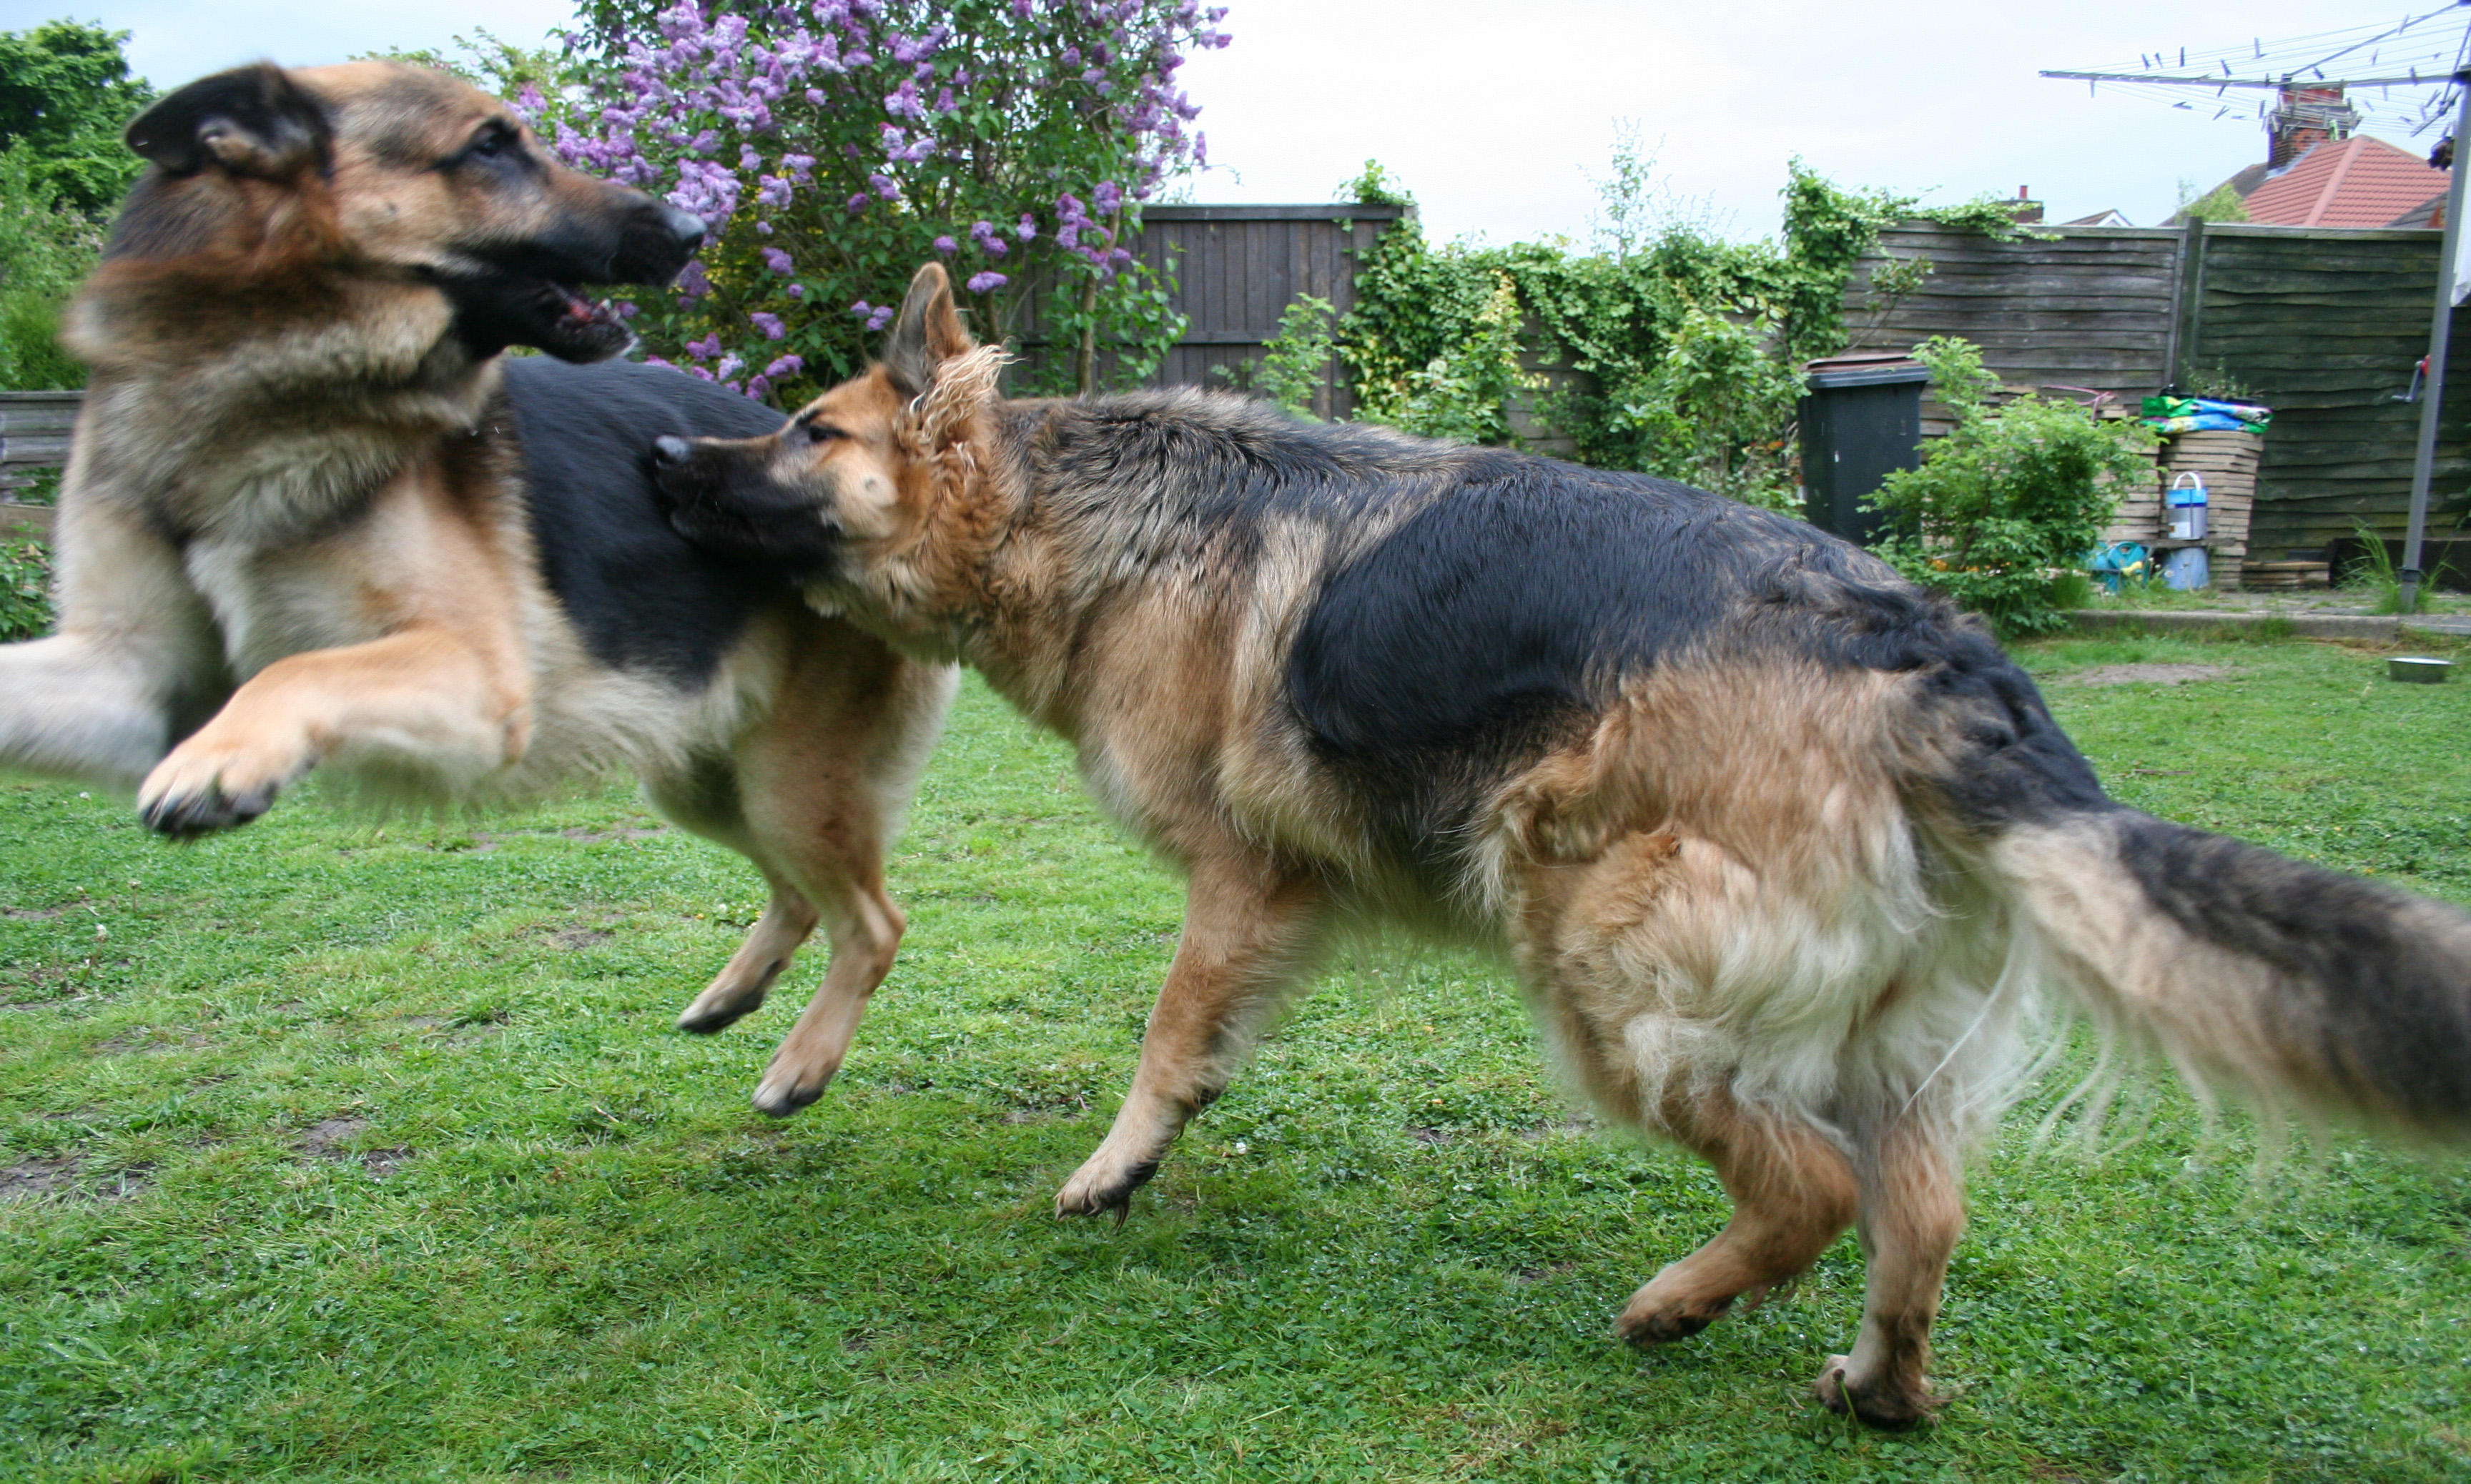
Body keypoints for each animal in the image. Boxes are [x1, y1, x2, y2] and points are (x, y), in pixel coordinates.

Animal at [0, 63, 954, 1116]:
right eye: (491, 148)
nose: (694, 226)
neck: (250, 395)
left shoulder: (479, 682)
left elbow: (292, 673)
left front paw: (216, 764)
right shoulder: (125, 673)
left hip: (785, 781)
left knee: (874, 919)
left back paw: (803, 1062)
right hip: (704, 775)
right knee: (800, 896)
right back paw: (732, 994)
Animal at [652, 262, 2471, 1422]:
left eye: (811, 430)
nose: (662, 451)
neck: (1077, 521)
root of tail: (1932, 655)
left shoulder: (1245, 875)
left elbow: (1170, 1032)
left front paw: (1117, 1165)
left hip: (1586, 941)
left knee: (1812, 1183)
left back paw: (1678, 1302)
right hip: (1865, 1029)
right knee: (1920, 1213)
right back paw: (1877, 1385)